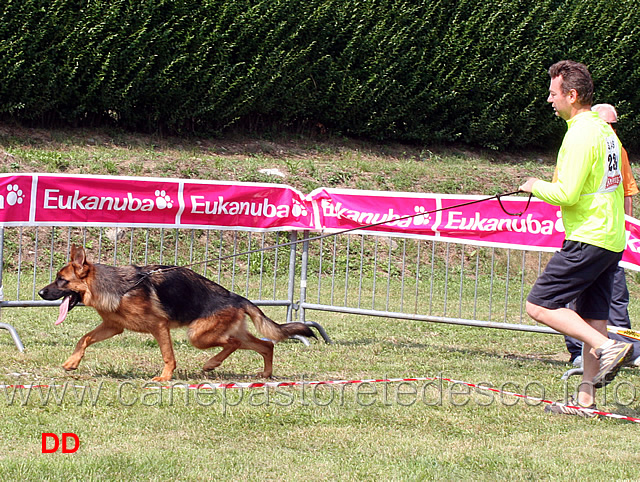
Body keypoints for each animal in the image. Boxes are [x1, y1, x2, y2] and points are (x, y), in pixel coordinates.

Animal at [38, 247, 316, 382]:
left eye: (61, 280)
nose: (40, 292)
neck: (118, 287)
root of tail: (237, 297)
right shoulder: (113, 327)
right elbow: (84, 338)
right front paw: (72, 362)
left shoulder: (159, 327)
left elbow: (167, 356)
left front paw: (165, 377)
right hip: (217, 333)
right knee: (266, 345)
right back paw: (266, 374)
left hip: (198, 335)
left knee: (235, 343)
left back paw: (212, 363)